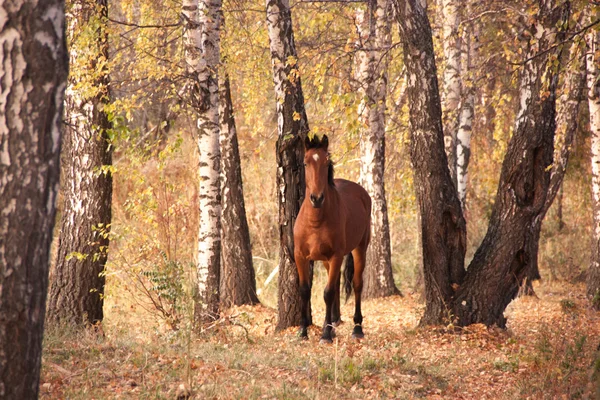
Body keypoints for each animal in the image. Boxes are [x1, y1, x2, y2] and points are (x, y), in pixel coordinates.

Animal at [292, 135, 370, 344]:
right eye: (305, 162)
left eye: (327, 163)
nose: (317, 198)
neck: (316, 220)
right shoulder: (300, 256)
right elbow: (305, 290)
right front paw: (303, 331)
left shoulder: (336, 256)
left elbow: (327, 293)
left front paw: (325, 336)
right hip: (328, 261)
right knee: (334, 286)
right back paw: (333, 324)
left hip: (360, 249)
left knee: (357, 284)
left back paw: (357, 329)